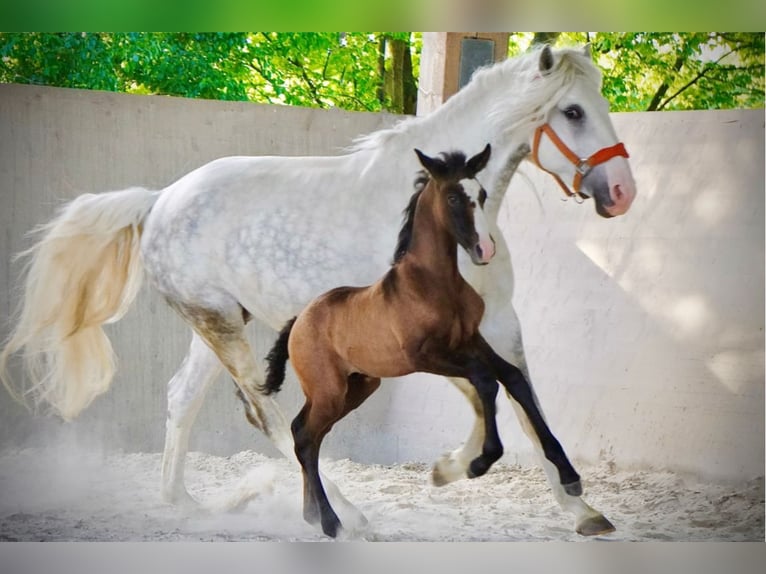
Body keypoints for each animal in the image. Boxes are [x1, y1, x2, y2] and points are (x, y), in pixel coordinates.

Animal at [266, 145, 584, 540]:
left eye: (481, 195)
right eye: (452, 197)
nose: (484, 249)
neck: (434, 283)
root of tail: (299, 320)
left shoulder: (471, 342)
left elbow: (512, 378)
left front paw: (570, 476)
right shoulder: (426, 355)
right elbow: (486, 381)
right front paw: (479, 462)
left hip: (358, 387)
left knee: (303, 432)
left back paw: (312, 514)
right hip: (330, 390)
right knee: (307, 438)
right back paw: (330, 522)